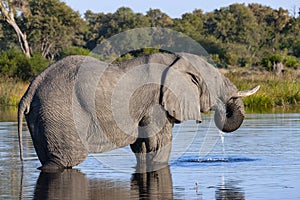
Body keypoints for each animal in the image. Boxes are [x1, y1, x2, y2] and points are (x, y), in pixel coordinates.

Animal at [17, 52, 258, 171]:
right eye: (216, 79)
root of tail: (30, 90)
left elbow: (143, 147)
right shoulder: (155, 103)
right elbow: (158, 144)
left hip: (43, 115)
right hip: (60, 112)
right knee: (63, 162)